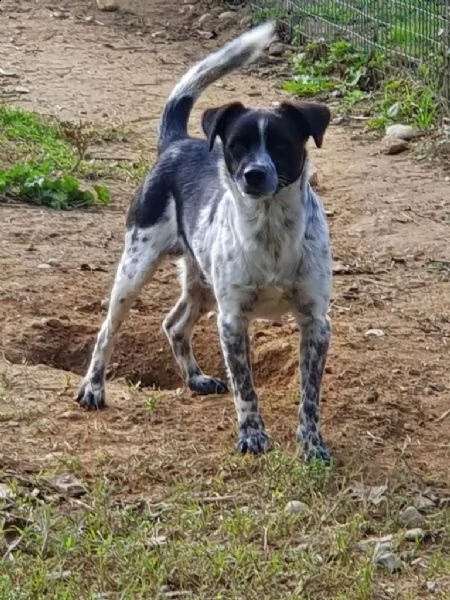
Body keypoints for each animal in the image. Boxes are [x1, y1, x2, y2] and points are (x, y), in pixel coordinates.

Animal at [74, 21, 334, 462]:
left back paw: (195, 379)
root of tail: (178, 143)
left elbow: (310, 396)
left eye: (282, 145)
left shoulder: (316, 322)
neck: (271, 231)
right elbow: (246, 390)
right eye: (236, 146)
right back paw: (93, 388)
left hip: (202, 284)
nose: (253, 175)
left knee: (174, 324)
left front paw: (311, 443)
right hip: (135, 269)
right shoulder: (232, 320)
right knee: (108, 330)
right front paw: (252, 436)